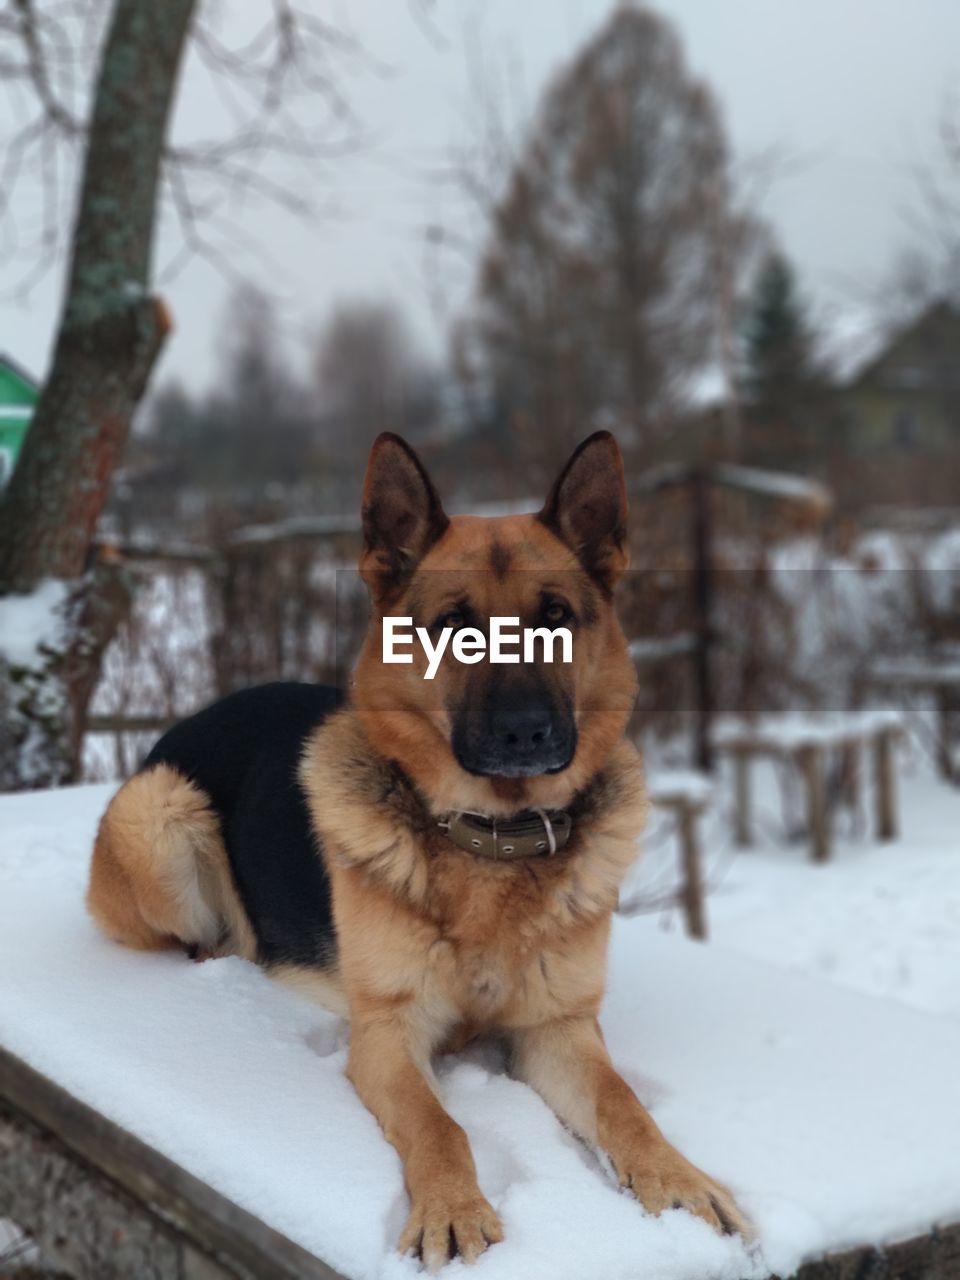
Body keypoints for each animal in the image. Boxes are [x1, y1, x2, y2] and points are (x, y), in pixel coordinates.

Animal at [88, 432, 752, 1269]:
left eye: (557, 616)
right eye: (454, 624)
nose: (527, 733)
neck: (492, 838)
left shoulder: (558, 1029)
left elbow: (624, 1103)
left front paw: (678, 1178)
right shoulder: (387, 1038)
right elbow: (441, 1126)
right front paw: (451, 1208)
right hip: (159, 813)